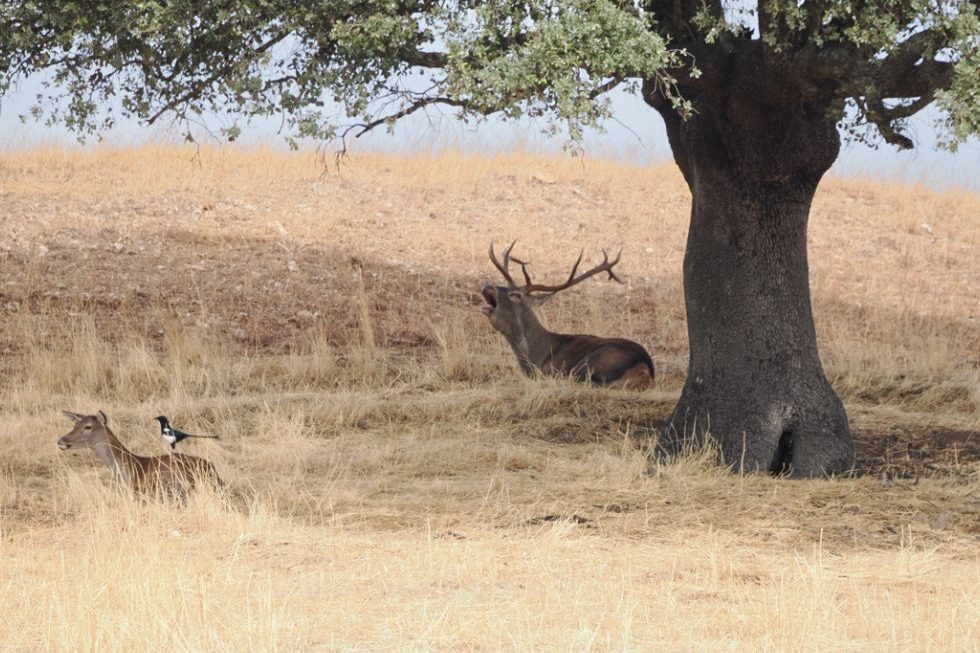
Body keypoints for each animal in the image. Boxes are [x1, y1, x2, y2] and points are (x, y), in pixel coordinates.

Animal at [480, 242, 655, 390]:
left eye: (515, 295)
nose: (488, 286)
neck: (535, 356)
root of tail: (646, 369)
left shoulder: (550, 369)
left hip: (592, 363)